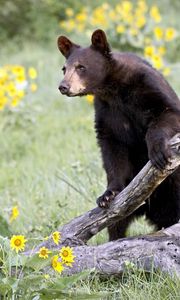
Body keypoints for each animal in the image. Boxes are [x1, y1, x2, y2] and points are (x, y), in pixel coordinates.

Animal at [57, 29, 180, 240]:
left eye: (81, 67)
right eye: (64, 69)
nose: (63, 86)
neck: (113, 89)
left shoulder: (148, 86)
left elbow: (167, 112)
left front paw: (157, 152)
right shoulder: (106, 112)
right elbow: (112, 149)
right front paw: (108, 194)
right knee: (116, 224)